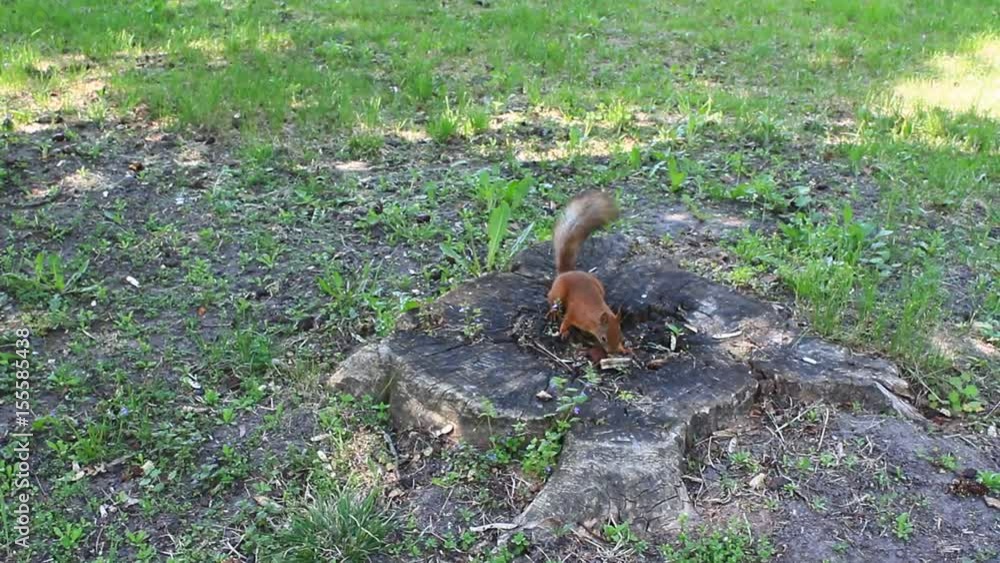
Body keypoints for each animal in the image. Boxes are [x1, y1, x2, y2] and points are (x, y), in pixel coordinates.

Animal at [546, 191, 628, 355]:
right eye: (603, 338)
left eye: (621, 335)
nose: (612, 352)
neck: (594, 315)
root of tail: (567, 272)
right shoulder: (575, 314)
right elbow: (566, 321)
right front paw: (564, 332)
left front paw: (623, 349)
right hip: (559, 291)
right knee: (551, 298)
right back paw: (553, 312)